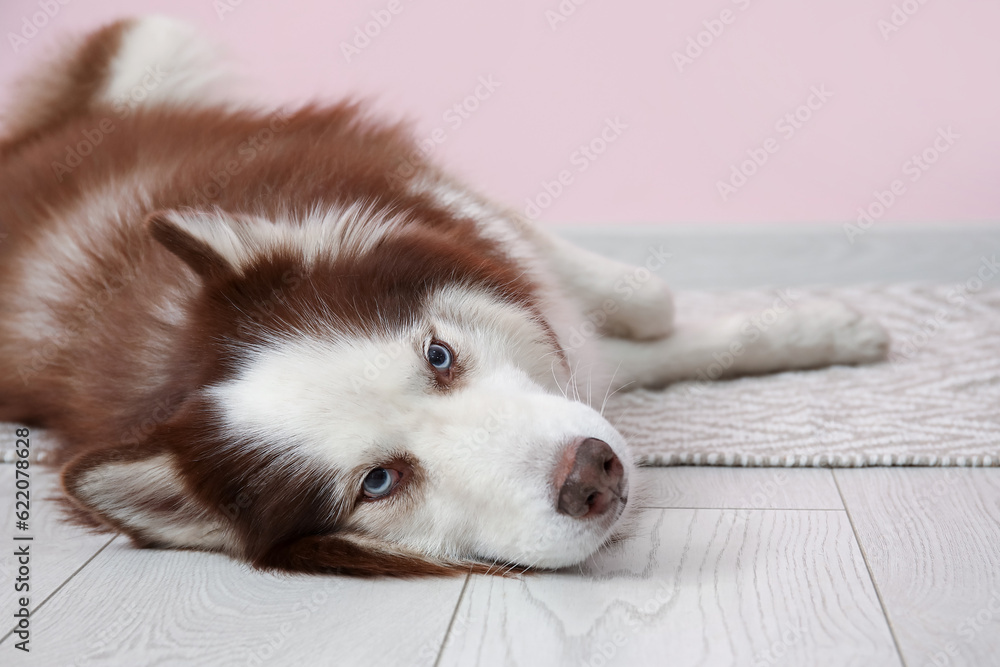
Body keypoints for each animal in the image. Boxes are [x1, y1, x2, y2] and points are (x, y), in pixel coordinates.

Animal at [0, 18, 892, 576]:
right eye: (377, 482)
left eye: (438, 355)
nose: (591, 471)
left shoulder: (412, 200)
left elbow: (640, 300)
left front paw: (829, 329)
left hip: (163, 45)